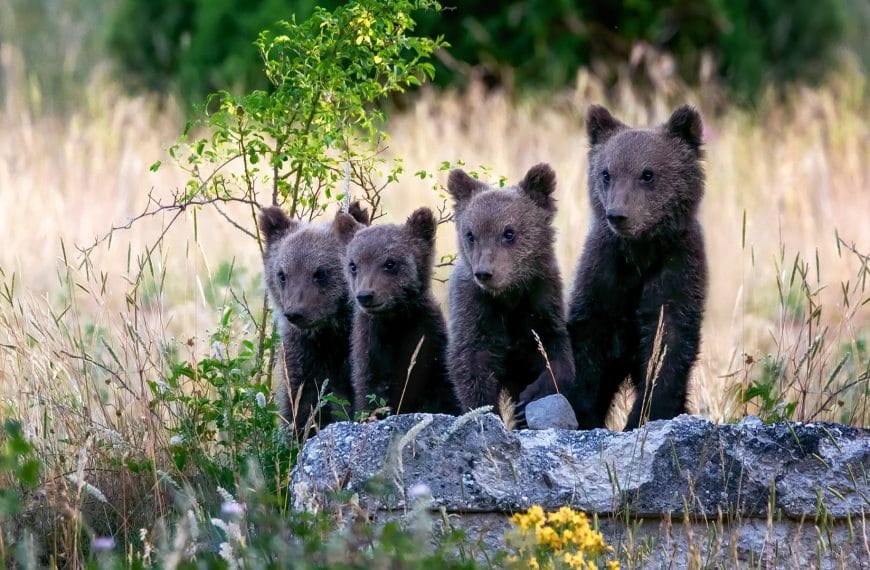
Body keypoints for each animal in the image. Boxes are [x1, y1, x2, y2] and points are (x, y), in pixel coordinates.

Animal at [338, 207, 459, 416]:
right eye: (353, 265)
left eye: (390, 263)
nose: (365, 295)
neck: (395, 322)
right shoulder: (371, 351)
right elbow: (371, 395)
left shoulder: (428, 343)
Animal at [446, 163, 576, 415]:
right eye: (471, 235)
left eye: (509, 232)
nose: (485, 273)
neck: (509, 295)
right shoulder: (474, 308)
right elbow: (470, 363)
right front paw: (486, 410)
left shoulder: (543, 300)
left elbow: (558, 354)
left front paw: (529, 396)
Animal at [566, 104, 708, 431]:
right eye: (606, 173)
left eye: (647, 174)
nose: (618, 214)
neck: (639, 253)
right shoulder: (604, 274)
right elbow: (587, 345)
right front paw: (584, 413)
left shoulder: (676, 269)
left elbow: (666, 346)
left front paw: (643, 416)